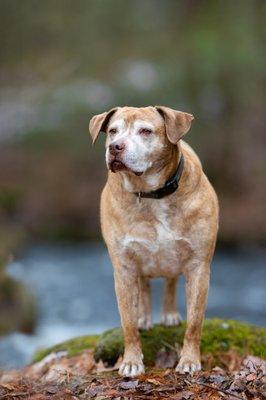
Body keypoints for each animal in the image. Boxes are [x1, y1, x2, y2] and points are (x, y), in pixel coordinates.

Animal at [89, 106, 218, 378]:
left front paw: (189, 360)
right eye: (113, 131)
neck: (151, 195)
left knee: (170, 281)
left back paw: (168, 314)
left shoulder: (199, 266)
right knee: (145, 286)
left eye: (146, 131)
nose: (115, 147)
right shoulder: (124, 268)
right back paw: (145, 318)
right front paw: (131, 361)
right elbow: (127, 322)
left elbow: (195, 322)